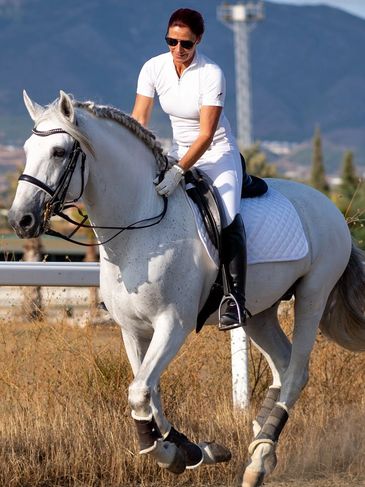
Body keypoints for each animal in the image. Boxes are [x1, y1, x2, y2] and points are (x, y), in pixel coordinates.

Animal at [7, 90, 364, 484]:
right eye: (26, 149)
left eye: (58, 152)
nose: (20, 220)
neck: (138, 228)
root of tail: (328, 206)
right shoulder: (132, 330)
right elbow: (149, 391)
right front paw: (190, 449)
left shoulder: (172, 325)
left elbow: (139, 391)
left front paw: (166, 453)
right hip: (259, 313)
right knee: (282, 366)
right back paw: (261, 446)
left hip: (313, 294)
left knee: (297, 371)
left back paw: (259, 458)